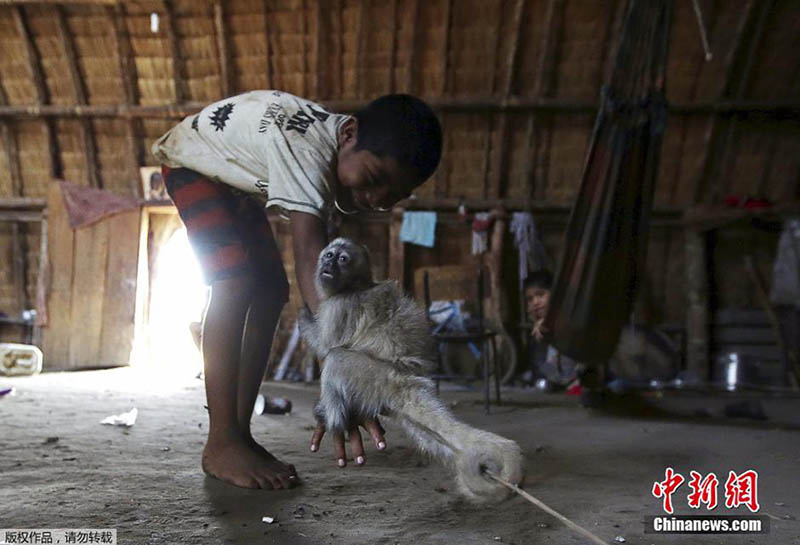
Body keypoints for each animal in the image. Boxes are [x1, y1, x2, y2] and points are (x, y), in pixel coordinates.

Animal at [300, 238, 524, 502]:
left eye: (342, 259)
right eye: (329, 255)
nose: (329, 263)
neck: (355, 285)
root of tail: (406, 379)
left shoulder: (339, 306)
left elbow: (325, 347)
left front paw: (303, 317)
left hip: (377, 379)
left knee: (336, 358)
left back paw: (332, 415)